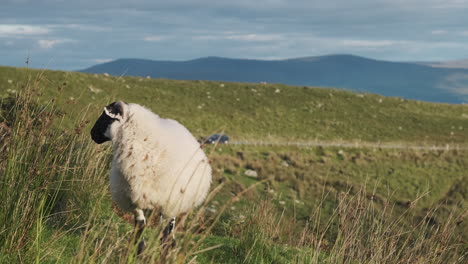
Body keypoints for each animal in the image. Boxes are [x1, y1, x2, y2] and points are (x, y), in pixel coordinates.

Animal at [89, 101, 212, 254]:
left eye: (106, 117)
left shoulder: (165, 203)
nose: (92, 134)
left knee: (168, 231)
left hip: (172, 202)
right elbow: (140, 226)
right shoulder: (135, 198)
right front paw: (138, 251)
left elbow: (165, 232)